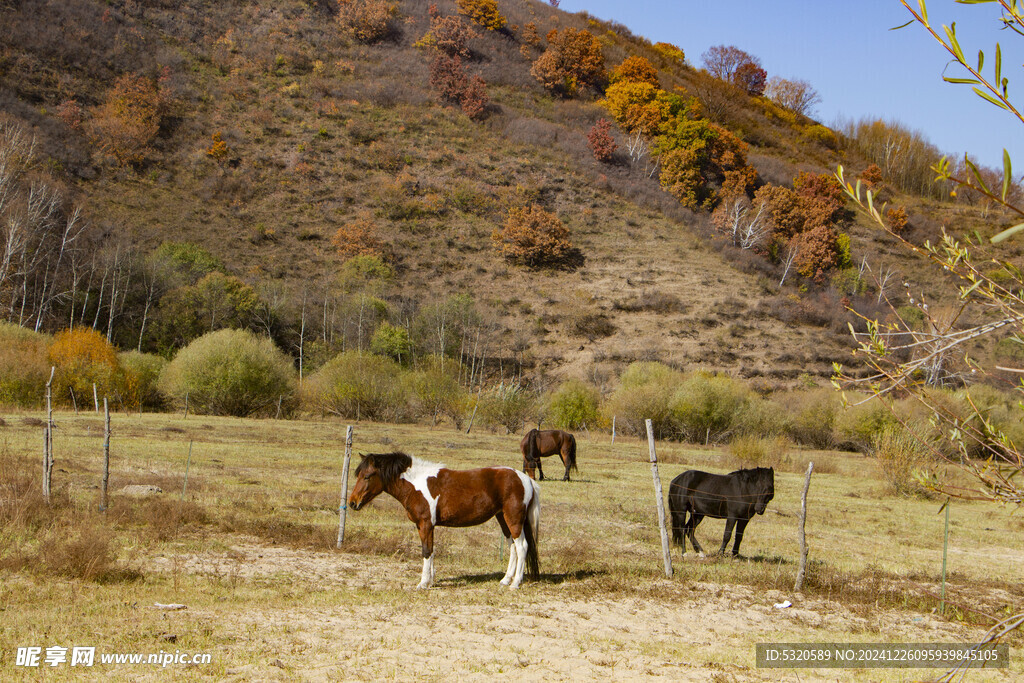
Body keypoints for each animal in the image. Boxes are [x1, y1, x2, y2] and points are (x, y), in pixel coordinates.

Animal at [348, 450, 540, 589]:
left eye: (367, 476)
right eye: (358, 475)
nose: (352, 503)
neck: (416, 484)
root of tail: (526, 479)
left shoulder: (426, 524)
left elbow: (426, 551)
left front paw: (423, 583)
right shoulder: (424, 526)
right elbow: (431, 550)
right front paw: (431, 580)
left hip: (513, 519)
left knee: (522, 547)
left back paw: (515, 583)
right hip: (502, 518)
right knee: (512, 547)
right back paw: (506, 580)